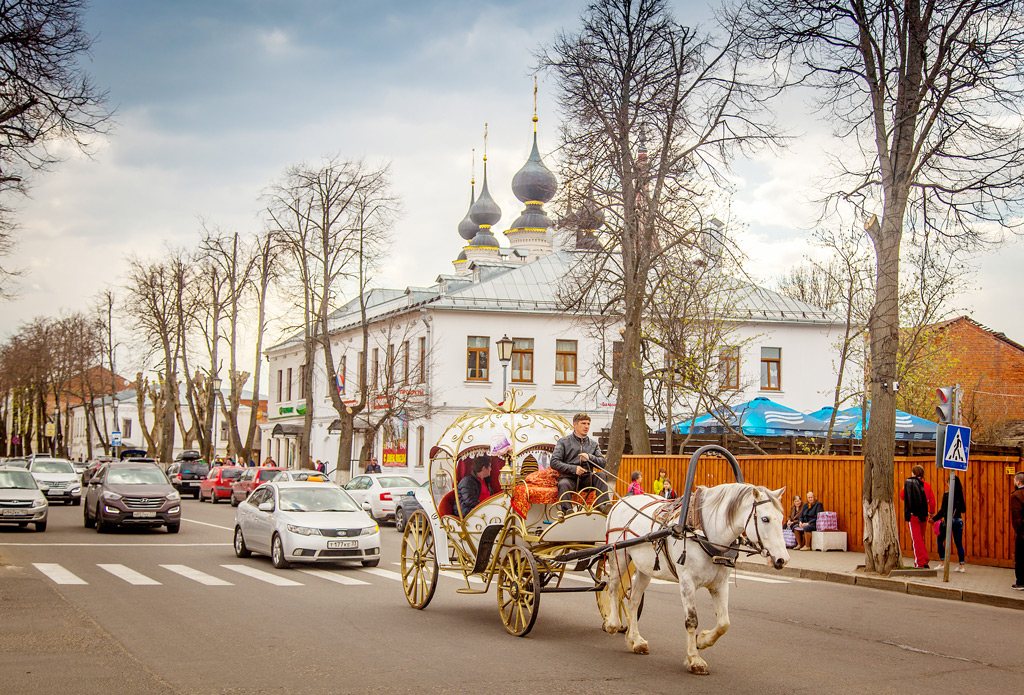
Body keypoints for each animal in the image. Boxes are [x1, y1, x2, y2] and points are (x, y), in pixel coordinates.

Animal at [598, 483, 790, 675]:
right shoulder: (687, 582)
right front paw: (695, 659)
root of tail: (620, 502)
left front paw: (702, 640)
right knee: (613, 587)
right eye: (765, 519)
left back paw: (636, 640)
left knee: (633, 601)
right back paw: (612, 623)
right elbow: (691, 620)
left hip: (645, 568)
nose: (782, 559)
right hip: (619, 556)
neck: (706, 534)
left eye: (781, 518)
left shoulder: (720, 584)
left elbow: (724, 623)